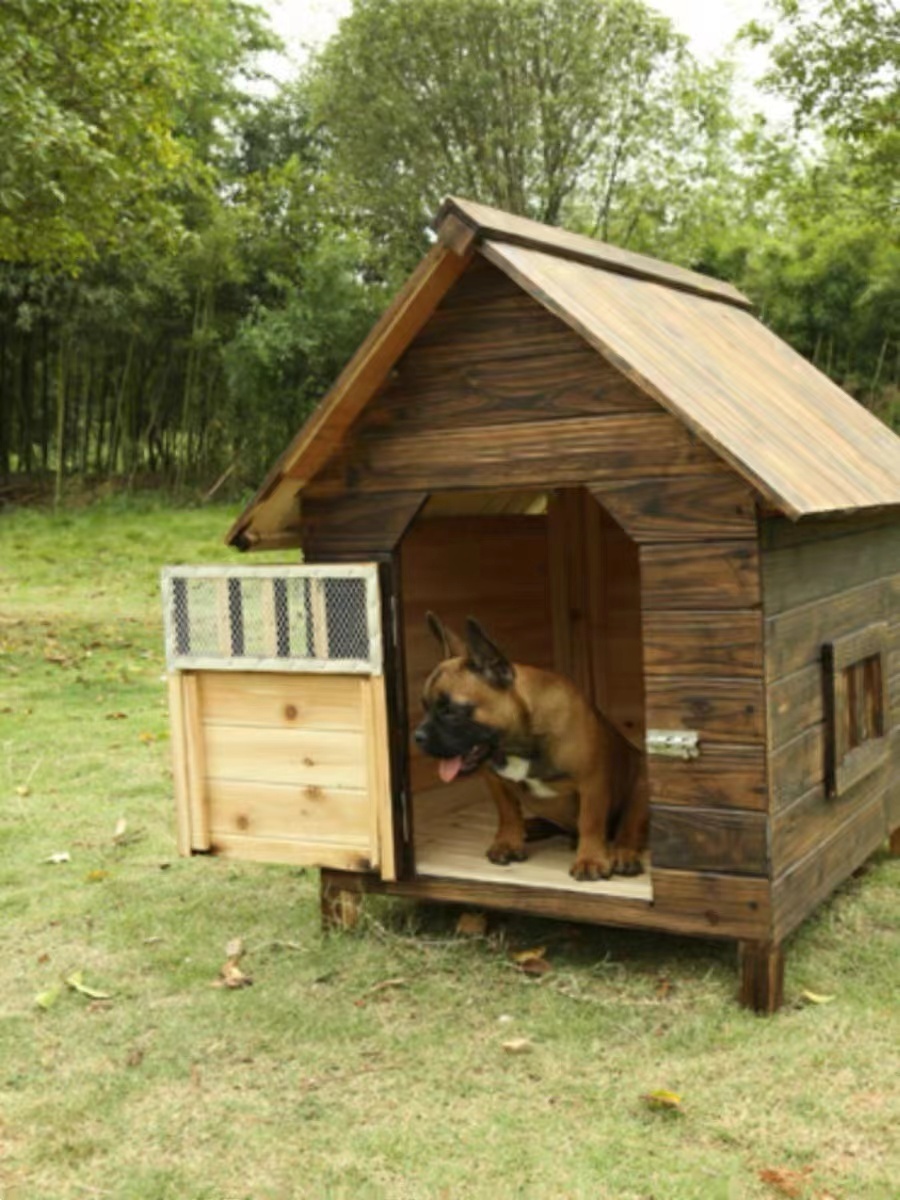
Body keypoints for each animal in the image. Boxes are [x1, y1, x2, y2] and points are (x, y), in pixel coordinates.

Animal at [415, 614, 648, 878]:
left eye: (450, 710)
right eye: (425, 707)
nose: (417, 736)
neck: (519, 744)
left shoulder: (592, 782)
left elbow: (590, 821)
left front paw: (590, 859)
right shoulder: (494, 780)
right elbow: (507, 812)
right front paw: (508, 842)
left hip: (641, 787)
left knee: (628, 829)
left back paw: (623, 854)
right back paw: (531, 828)